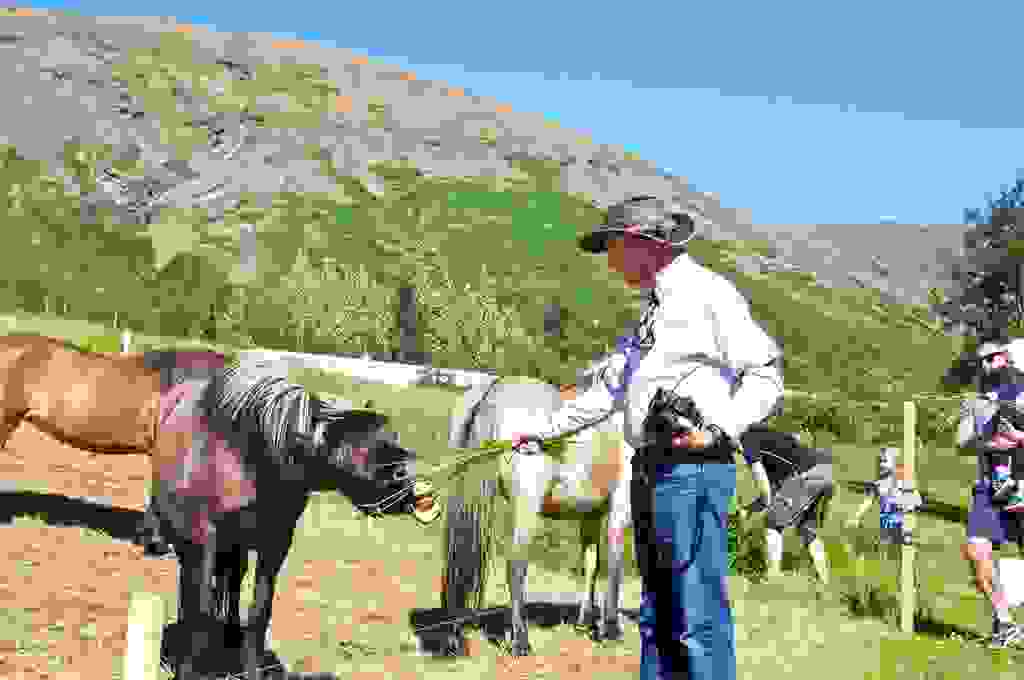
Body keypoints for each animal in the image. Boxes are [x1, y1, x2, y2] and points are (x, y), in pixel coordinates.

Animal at [0, 335, 440, 679]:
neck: (247, 458)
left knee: (227, 590)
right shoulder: (203, 541)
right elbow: (197, 610)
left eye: (392, 439)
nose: (413, 490)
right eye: (365, 449)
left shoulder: (271, 546)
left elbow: (256, 613)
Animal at [442, 375, 633, 657]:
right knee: (516, 565)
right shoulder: (619, 507)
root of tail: (493, 390)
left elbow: (591, 564)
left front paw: (585, 622)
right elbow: (614, 565)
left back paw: (456, 635)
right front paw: (610, 629)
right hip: (526, 507)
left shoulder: (590, 515)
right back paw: (520, 641)